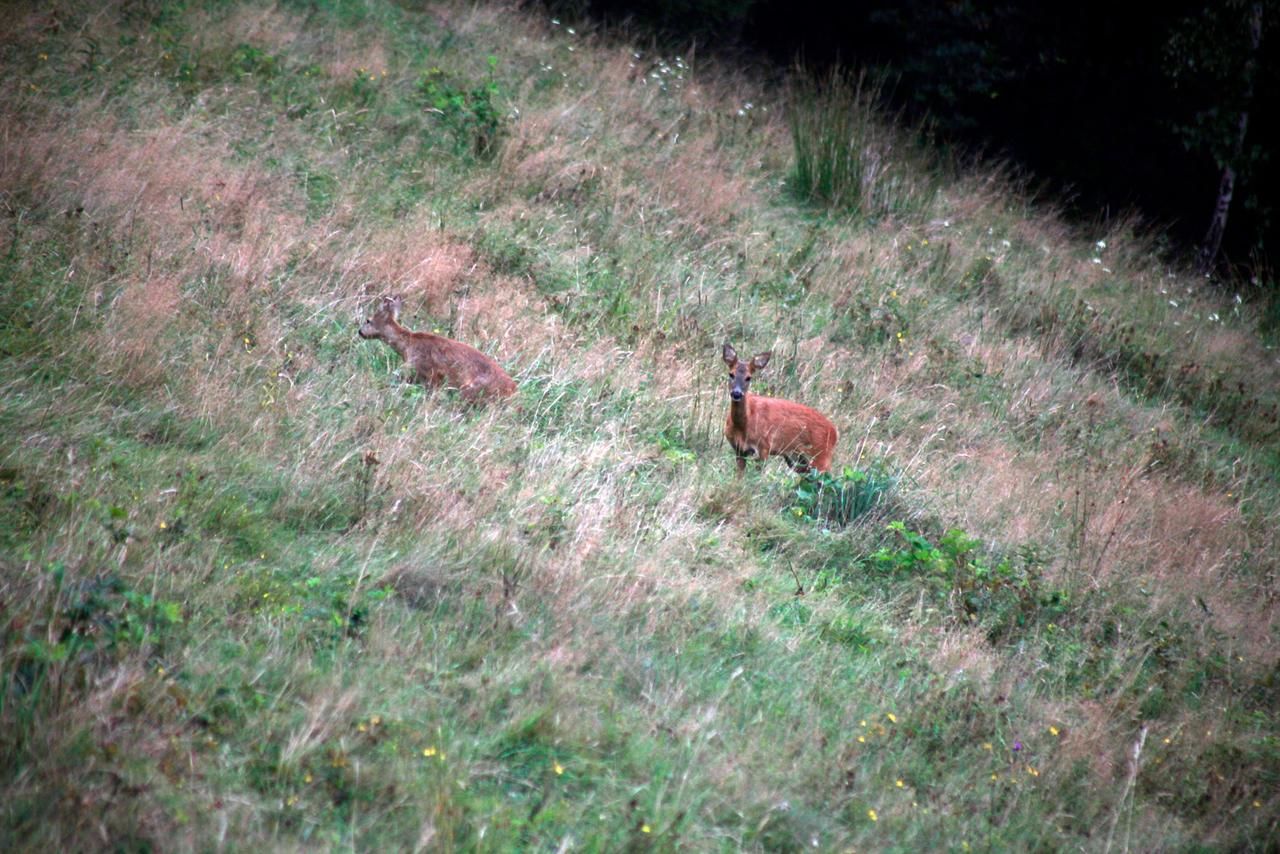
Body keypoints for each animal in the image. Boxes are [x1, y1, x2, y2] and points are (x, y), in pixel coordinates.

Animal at [355, 294, 514, 404]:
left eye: (368, 320)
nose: (360, 332)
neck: (408, 344)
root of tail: (513, 391)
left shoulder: (426, 370)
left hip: (471, 389)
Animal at [721, 343, 839, 478]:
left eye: (748, 378)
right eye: (731, 374)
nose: (736, 393)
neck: (744, 424)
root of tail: (834, 431)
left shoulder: (764, 446)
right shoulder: (739, 450)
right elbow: (739, 477)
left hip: (821, 455)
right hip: (798, 459)